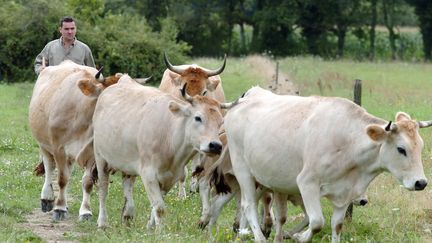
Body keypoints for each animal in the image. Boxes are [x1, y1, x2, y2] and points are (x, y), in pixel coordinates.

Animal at [224, 86, 430, 242]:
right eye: (401, 149)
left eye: (420, 146)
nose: (421, 182)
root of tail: (246, 97)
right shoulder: (307, 182)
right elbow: (316, 222)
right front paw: (299, 236)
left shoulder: (345, 193)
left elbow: (336, 225)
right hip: (243, 170)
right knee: (248, 205)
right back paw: (258, 237)